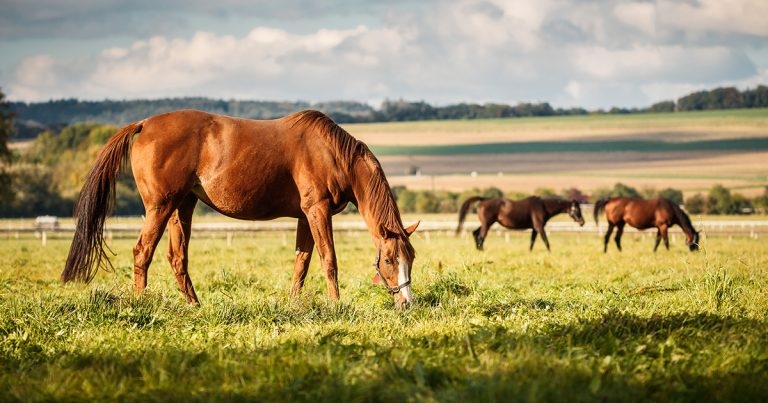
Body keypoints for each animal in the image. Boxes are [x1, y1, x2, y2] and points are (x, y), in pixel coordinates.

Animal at [62, 109, 419, 308]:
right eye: (389, 260)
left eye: (411, 259)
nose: (406, 304)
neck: (332, 153)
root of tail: (145, 124)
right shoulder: (317, 212)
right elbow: (328, 260)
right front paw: (336, 305)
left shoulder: (305, 217)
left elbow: (301, 263)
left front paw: (294, 305)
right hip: (160, 207)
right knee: (142, 252)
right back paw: (141, 303)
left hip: (182, 206)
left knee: (177, 258)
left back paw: (195, 306)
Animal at [456, 196, 585, 251]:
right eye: (577, 209)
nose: (582, 222)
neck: (543, 207)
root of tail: (483, 200)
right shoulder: (539, 227)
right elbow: (545, 240)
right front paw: (550, 252)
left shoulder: (534, 228)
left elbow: (532, 241)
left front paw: (530, 252)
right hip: (487, 223)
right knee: (481, 236)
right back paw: (481, 250)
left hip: (486, 223)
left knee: (475, 233)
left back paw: (478, 249)